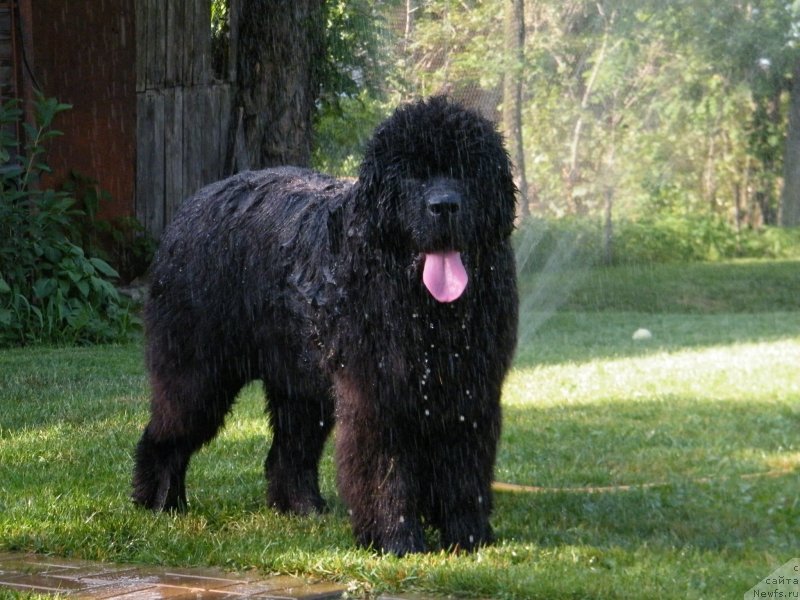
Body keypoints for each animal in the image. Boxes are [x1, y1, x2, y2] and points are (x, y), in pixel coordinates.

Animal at [133, 96, 520, 556]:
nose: (444, 205)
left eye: (466, 169)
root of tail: (191, 206)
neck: (421, 306)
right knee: (169, 431)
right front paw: (397, 539)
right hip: (198, 368)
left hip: (300, 382)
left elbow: (463, 468)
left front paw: (467, 537)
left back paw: (302, 508)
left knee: (289, 451)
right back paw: (159, 502)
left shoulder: (469, 390)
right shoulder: (377, 395)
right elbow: (386, 471)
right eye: (414, 173)